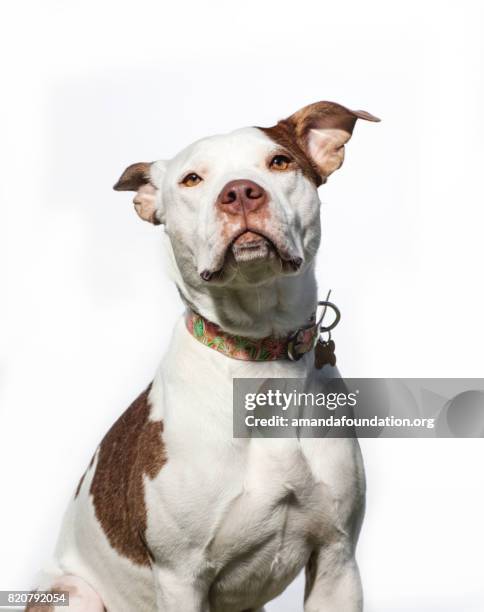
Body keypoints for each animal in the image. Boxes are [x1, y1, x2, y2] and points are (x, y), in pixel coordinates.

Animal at [28, 103, 380, 608]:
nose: (241, 193)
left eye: (279, 162)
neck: (261, 357)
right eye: (192, 179)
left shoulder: (337, 560)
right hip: (71, 591)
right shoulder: (181, 577)